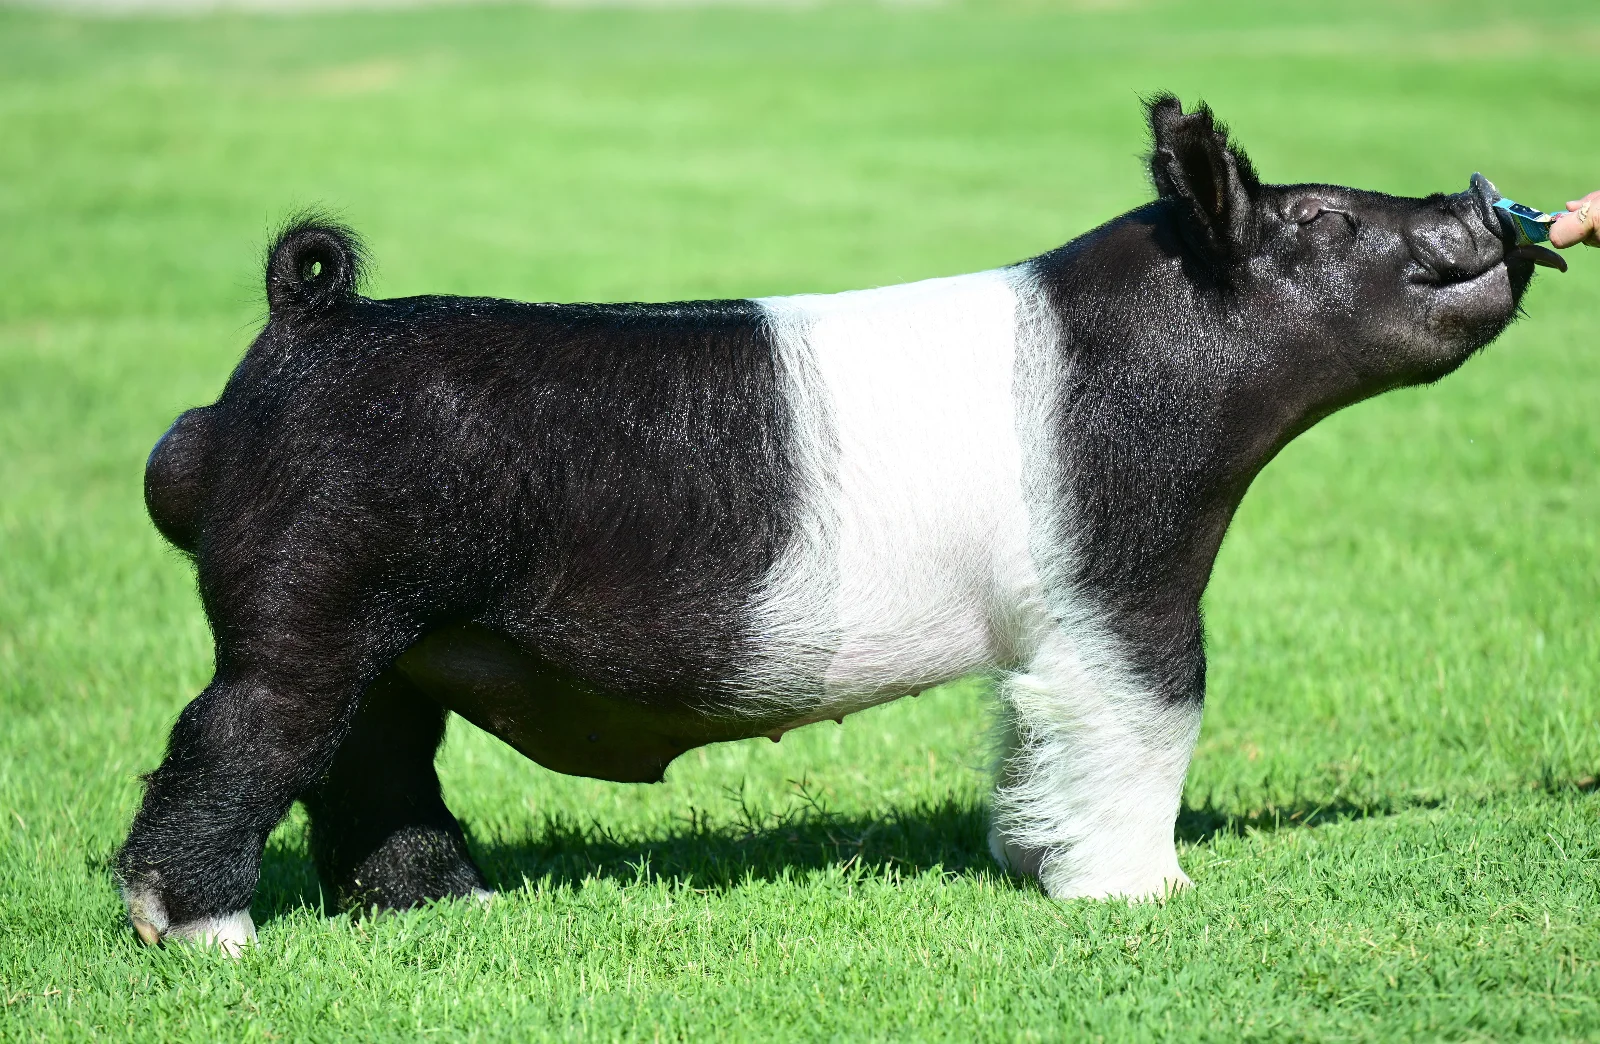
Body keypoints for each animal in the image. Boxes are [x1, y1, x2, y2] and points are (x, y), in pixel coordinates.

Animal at [118, 96, 1560, 953]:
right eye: (1322, 218)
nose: (1478, 206)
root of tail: (298, 330)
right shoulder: (1128, 578)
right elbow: (1155, 713)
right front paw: (1146, 896)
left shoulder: (1050, 630)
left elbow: (1037, 732)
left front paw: (1029, 859)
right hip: (309, 600)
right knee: (235, 740)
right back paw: (202, 937)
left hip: (403, 642)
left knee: (371, 764)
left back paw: (455, 907)